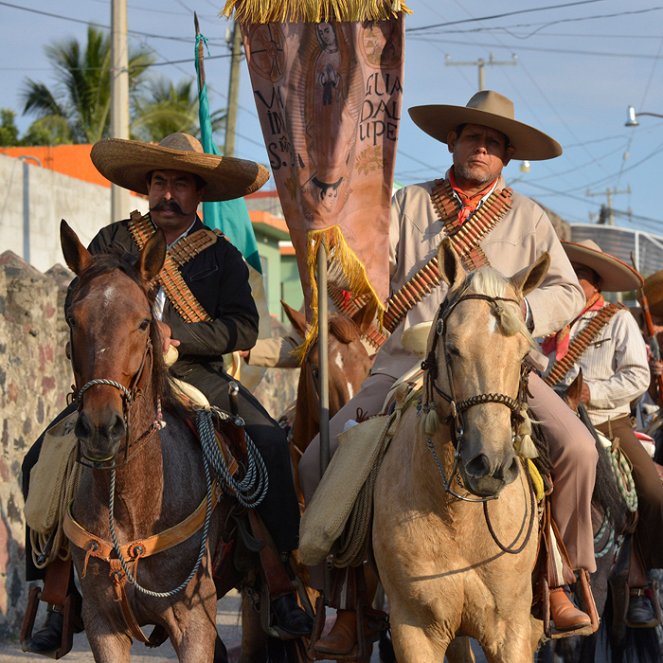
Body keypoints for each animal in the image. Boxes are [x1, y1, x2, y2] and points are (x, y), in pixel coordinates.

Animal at [374, 240, 548, 663]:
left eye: (524, 356)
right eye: (452, 348)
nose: (490, 465)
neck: (458, 515)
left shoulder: (512, 631)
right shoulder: (414, 631)